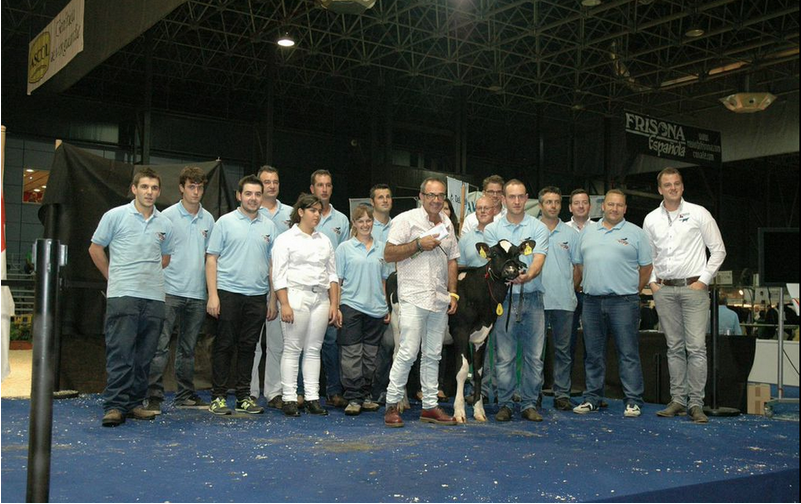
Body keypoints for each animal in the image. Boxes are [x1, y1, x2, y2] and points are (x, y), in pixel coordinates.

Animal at [385, 238, 536, 423]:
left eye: (517, 254)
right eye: (494, 254)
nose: (511, 270)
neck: (482, 294)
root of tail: (393, 274)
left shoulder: (482, 336)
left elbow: (478, 372)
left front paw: (479, 411)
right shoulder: (461, 332)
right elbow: (463, 370)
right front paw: (459, 411)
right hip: (398, 326)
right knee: (397, 356)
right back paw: (400, 403)